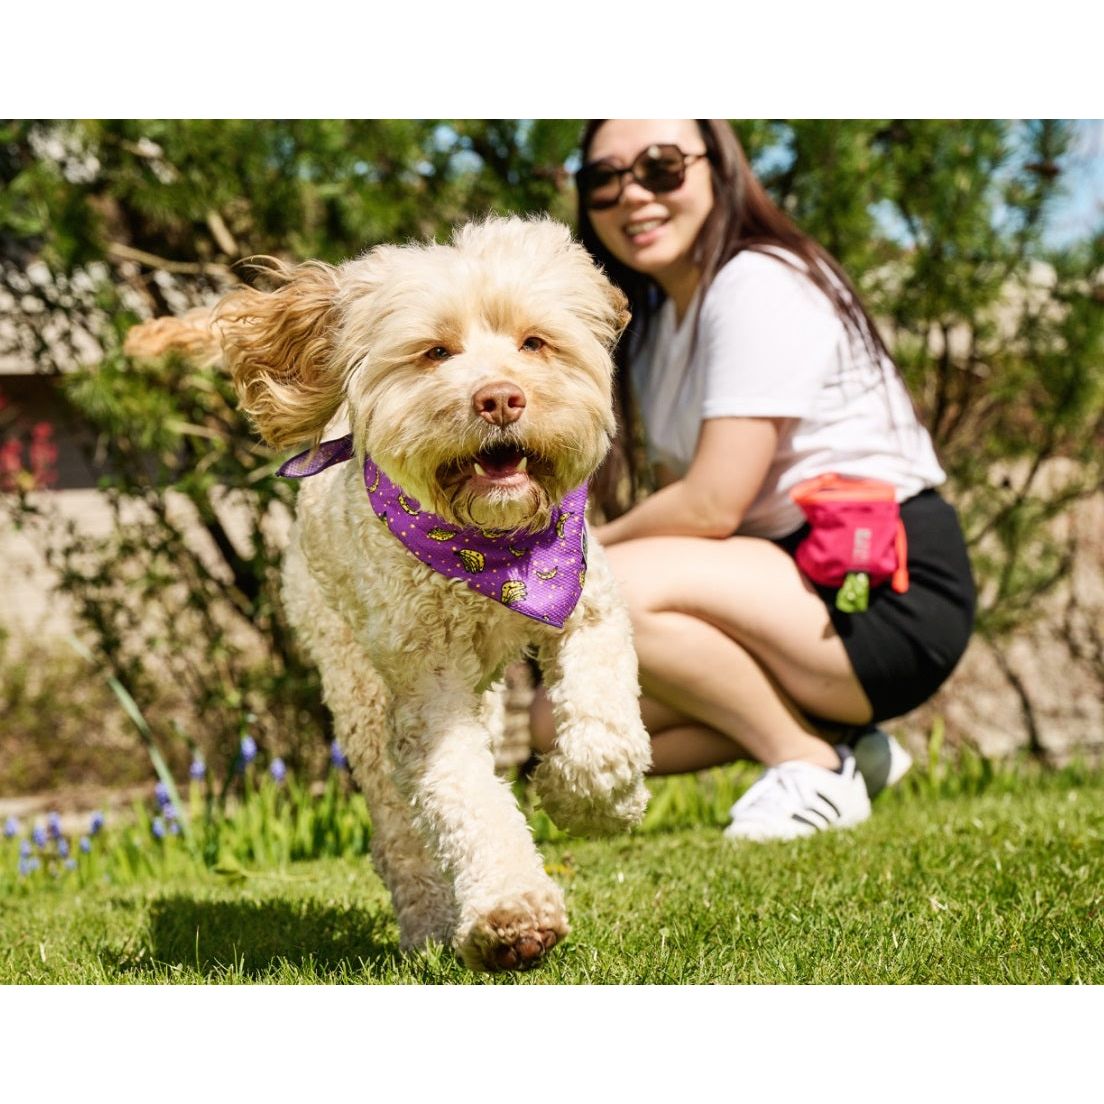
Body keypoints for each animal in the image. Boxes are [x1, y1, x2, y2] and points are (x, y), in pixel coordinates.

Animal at [125, 217, 649, 975]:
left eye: (534, 342)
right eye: (436, 352)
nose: (499, 398)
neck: (488, 552)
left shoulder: (588, 612)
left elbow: (606, 738)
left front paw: (585, 800)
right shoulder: (425, 690)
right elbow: (463, 795)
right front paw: (512, 914)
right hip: (356, 689)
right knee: (400, 833)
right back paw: (430, 923)